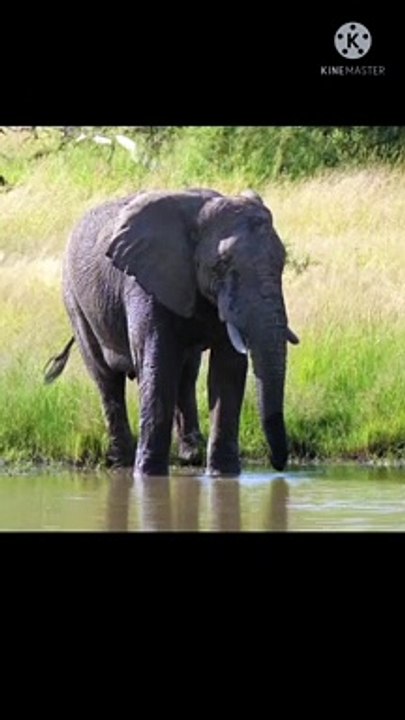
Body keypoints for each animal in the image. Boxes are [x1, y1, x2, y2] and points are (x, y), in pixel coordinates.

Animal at [45, 188, 299, 477]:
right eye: (222, 264)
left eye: (282, 262)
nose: (279, 465)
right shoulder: (144, 282)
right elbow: (159, 365)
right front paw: (147, 475)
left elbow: (227, 371)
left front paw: (223, 475)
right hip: (74, 300)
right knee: (106, 378)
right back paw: (123, 462)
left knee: (186, 373)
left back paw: (190, 455)